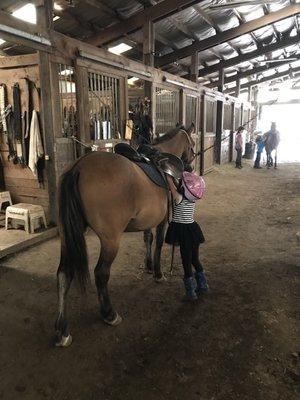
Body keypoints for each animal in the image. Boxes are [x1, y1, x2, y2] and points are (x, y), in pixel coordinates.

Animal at [54, 123, 196, 346]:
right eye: (192, 144)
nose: (190, 167)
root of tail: (78, 167)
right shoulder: (162, 220)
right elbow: (158, 244)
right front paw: (158, 273)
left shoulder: (148, 220)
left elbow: (148, 239)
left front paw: (148, 266)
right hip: (110, 240)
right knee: (101, 273)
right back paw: (109, 314)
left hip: (67, 238)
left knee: (63, 274)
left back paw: (62, 330)